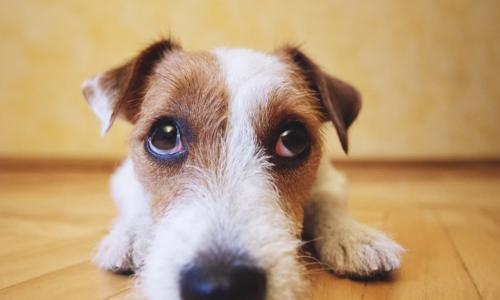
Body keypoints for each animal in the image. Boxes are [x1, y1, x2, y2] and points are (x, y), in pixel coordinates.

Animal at [82, 39, 402, 300]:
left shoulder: (329, 177)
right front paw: (131, 235)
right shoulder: (123, 177)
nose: (222, 285)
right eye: (164, 136)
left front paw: (354, 236)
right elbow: (137, 199)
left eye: (293, 139)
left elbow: (327, 200)